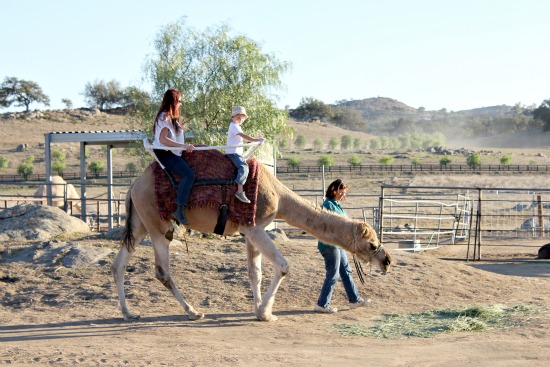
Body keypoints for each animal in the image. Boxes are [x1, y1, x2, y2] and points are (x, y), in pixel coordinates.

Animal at [115, 161, 392, 322]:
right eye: (372, 244)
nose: (387, 260)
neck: (279, 197)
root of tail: (133, 186)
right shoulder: (254, 226)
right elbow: (283, 265)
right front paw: (267, 313)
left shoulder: (249, 231)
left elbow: (254, 272)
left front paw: (257, 310)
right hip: (157, 224)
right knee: (162, 270)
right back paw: (193, 311)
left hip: (139, 224)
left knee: (119, 264)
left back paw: (129, 313)